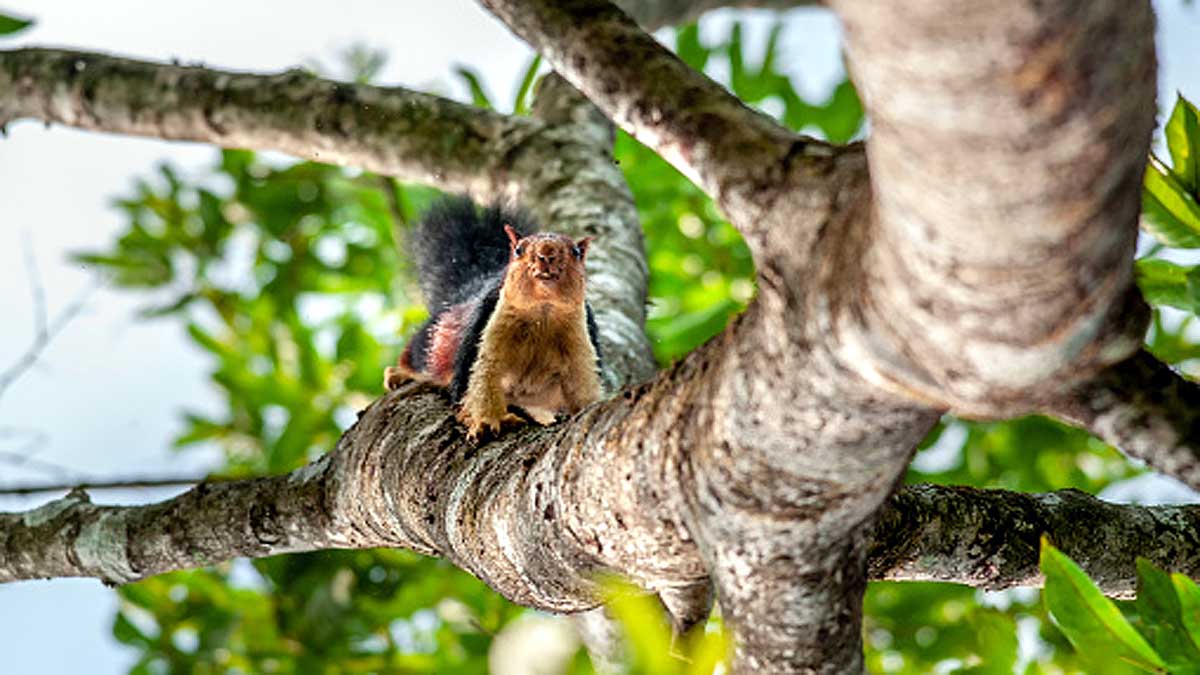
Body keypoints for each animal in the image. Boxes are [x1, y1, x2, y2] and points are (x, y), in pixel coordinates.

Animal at [384, 197, 604, 440]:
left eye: (576, 252)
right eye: (518, 250)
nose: (547, 254)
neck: (542, 311)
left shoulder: (582, 342)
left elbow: (583, 385)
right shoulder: (485, 329)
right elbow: (480, 379)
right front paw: (487, 422)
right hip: (432, 340)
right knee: (418, 353)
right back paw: (398, 373)